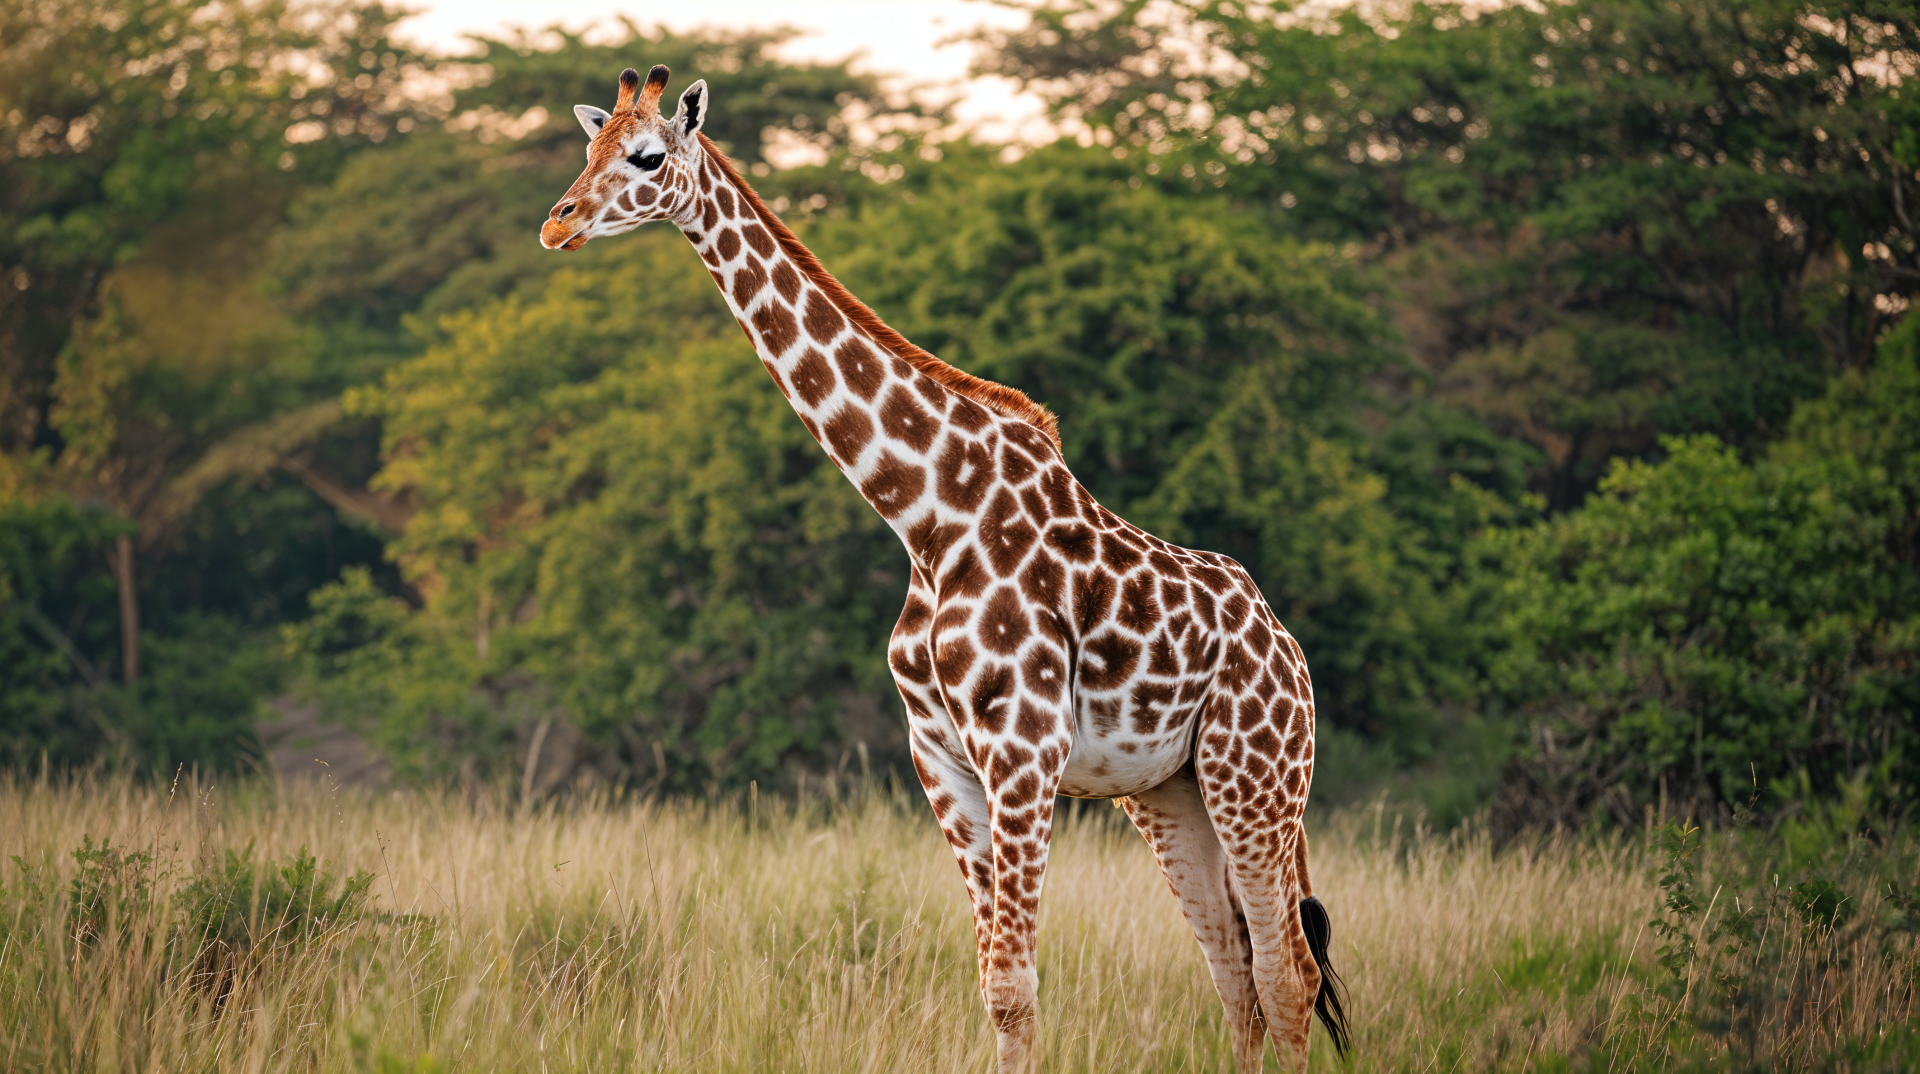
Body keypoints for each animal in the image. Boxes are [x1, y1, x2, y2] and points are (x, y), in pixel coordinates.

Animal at [539, 65, 1352, 1072]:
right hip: (1173, 793)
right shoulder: (942, 761)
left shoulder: (1023, 753)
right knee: (1235, 975)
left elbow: (1015, 984)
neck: (925, 515)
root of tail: (1289, 651)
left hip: (1258, 777)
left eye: (648, 156)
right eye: (589, 147)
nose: (558, 223)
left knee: (1288, 977)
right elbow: (995, 985)